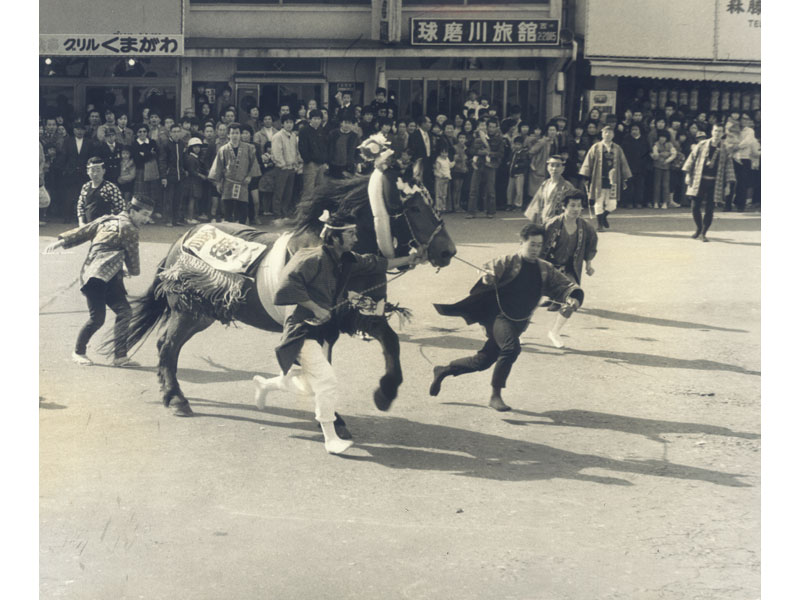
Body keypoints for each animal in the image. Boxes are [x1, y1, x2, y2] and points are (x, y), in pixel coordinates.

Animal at [106, 171, 456, 419]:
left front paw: (385, 393)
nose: (447, 250)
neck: (341, 255)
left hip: (202, 311)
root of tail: (182, 240)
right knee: (168, 345)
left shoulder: (356, 315)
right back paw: (175, 398)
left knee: (169, 345)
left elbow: (390, 342)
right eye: (414, 207)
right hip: (188, 309)